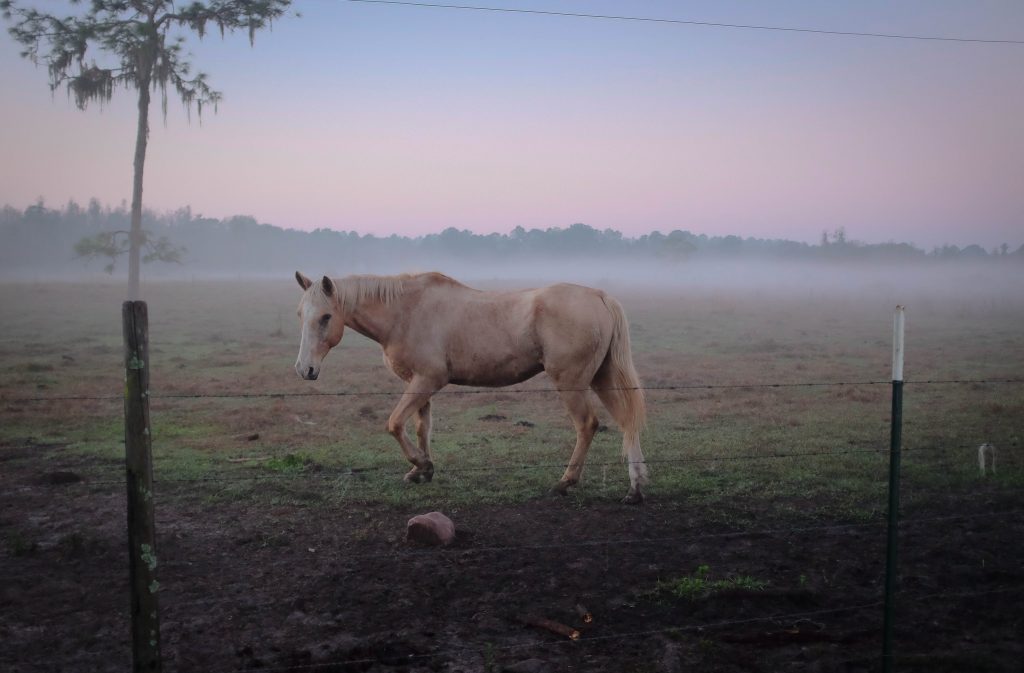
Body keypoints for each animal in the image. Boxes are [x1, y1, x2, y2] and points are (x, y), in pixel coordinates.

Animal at [296, 270, 647, 501]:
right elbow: (421, 428)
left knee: (587, 425)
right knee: (627, 422)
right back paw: (636, 486)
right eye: (300, 314)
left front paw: (422, 465)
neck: (406, 312)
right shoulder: (419, 384)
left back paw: (566, 481)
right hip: (602, 378)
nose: (305, 369)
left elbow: (395, 424)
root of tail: (599, 296)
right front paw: (422, 471)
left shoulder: (427, 380)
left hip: (572, 383)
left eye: (326, 317)